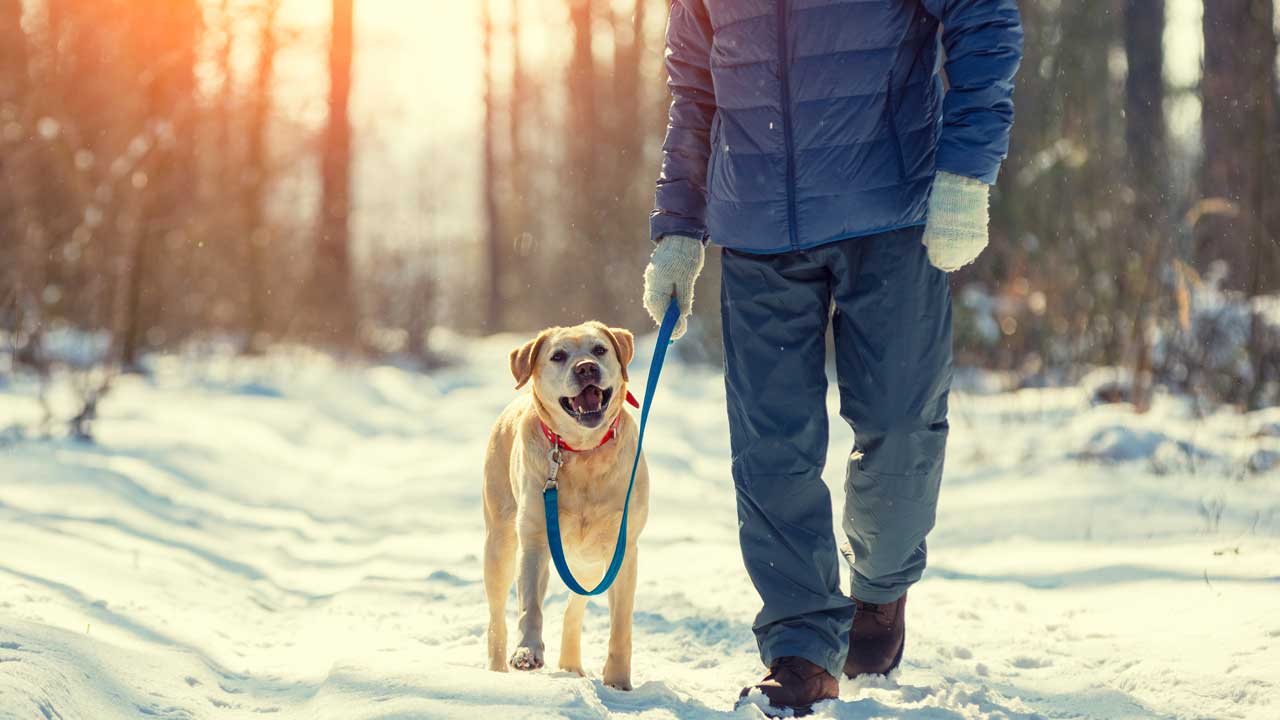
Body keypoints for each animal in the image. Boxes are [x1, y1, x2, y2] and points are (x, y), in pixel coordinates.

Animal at [483, 320, 655, 691]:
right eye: (558, 356)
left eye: (600, 349)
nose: (586, 368)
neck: (583, 451)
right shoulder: (534, 540)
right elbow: (529, 606)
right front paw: (527, 652)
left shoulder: (623, 548)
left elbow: (621, 624)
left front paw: (618, 681)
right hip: (500, 542)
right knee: (496, 616)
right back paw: (497, 669)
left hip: (589, 563)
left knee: (573, 609)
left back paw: (571, 664)